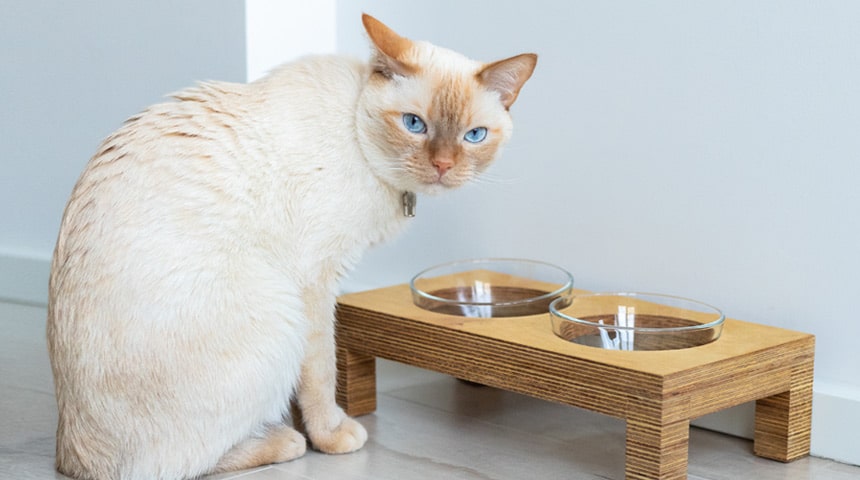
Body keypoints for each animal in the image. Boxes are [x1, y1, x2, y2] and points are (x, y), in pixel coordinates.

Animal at [43, 14, 536, 480]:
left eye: (474, 136)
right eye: (414, 125)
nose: (442, 166)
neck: (357, 129)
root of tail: (71, 457)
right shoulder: (316, 282)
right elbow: (322, 372)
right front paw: (331, 435)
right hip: (280, 312)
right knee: (175, 464)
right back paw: (283, 440)